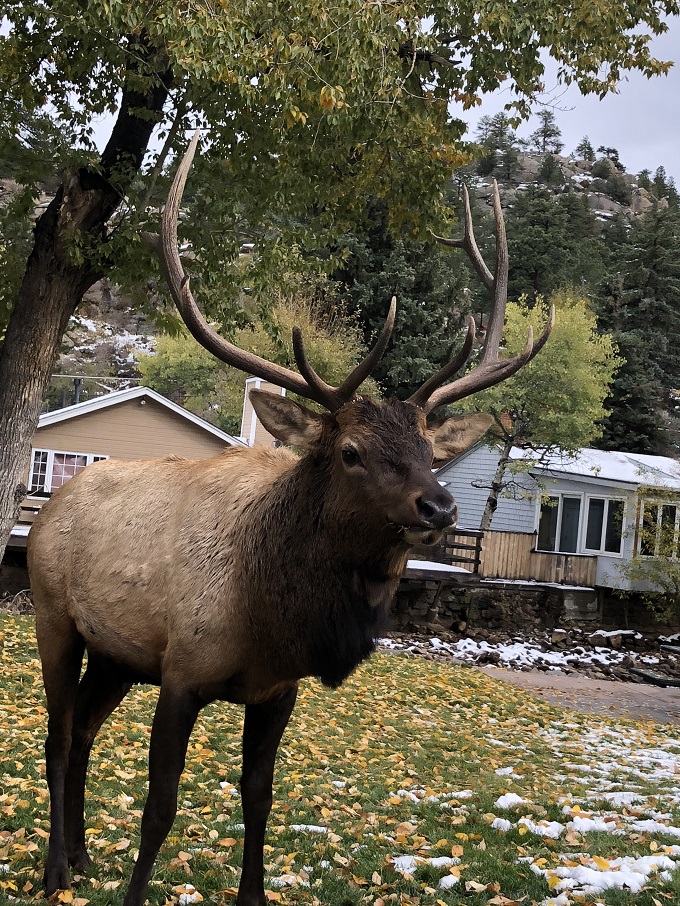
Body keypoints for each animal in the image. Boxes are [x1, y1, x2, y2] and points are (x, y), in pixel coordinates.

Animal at [27, 131, 553, 906]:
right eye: (352, 451)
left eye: (429, 450)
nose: (440, 505)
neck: (270, 614)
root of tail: (51, 504)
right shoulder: (182, 671)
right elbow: (160, 807)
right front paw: (134, 888)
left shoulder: (277, 692)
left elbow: (260, 797)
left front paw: (251, 893)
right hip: (54, 616)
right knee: (59, 735)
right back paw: (56, 868)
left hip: (120, 653)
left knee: (87, 731)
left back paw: (84, 854)